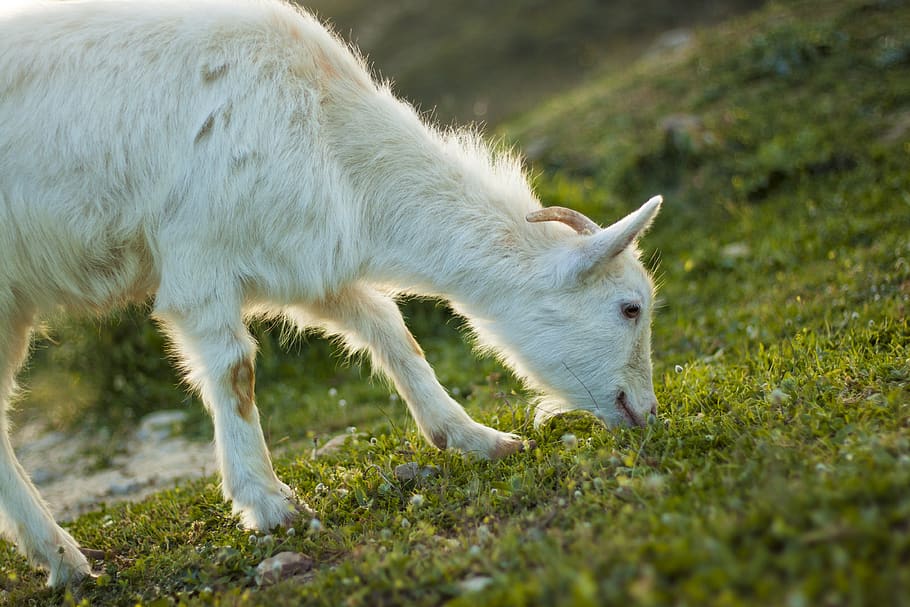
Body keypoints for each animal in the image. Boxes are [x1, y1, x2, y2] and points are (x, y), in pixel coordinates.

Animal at [0, 0, 662, 586]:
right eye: (630, 308)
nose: (647, 412)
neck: (327, 125)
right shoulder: (198, 261)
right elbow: (236, 372)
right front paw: (270, 505)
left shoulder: (304, 259)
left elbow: (389, 328)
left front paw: (476, 438)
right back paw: (64, 557)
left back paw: (61, 560)